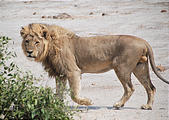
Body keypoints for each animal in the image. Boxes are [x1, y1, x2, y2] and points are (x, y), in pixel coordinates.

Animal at [20, 23, 169, 109]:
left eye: (37, 42)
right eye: (27, 41)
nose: (29, 52)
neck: (50, 47)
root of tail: (143, 41)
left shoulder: (73, 71)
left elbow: (74, 94)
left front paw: (88, 102)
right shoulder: (60, 74)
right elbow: (59, 93)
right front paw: (56, 106)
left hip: (121, 68)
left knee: (130, 88)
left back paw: (118, 104)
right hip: (140, 67)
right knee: (151, 87)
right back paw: (147, 106)